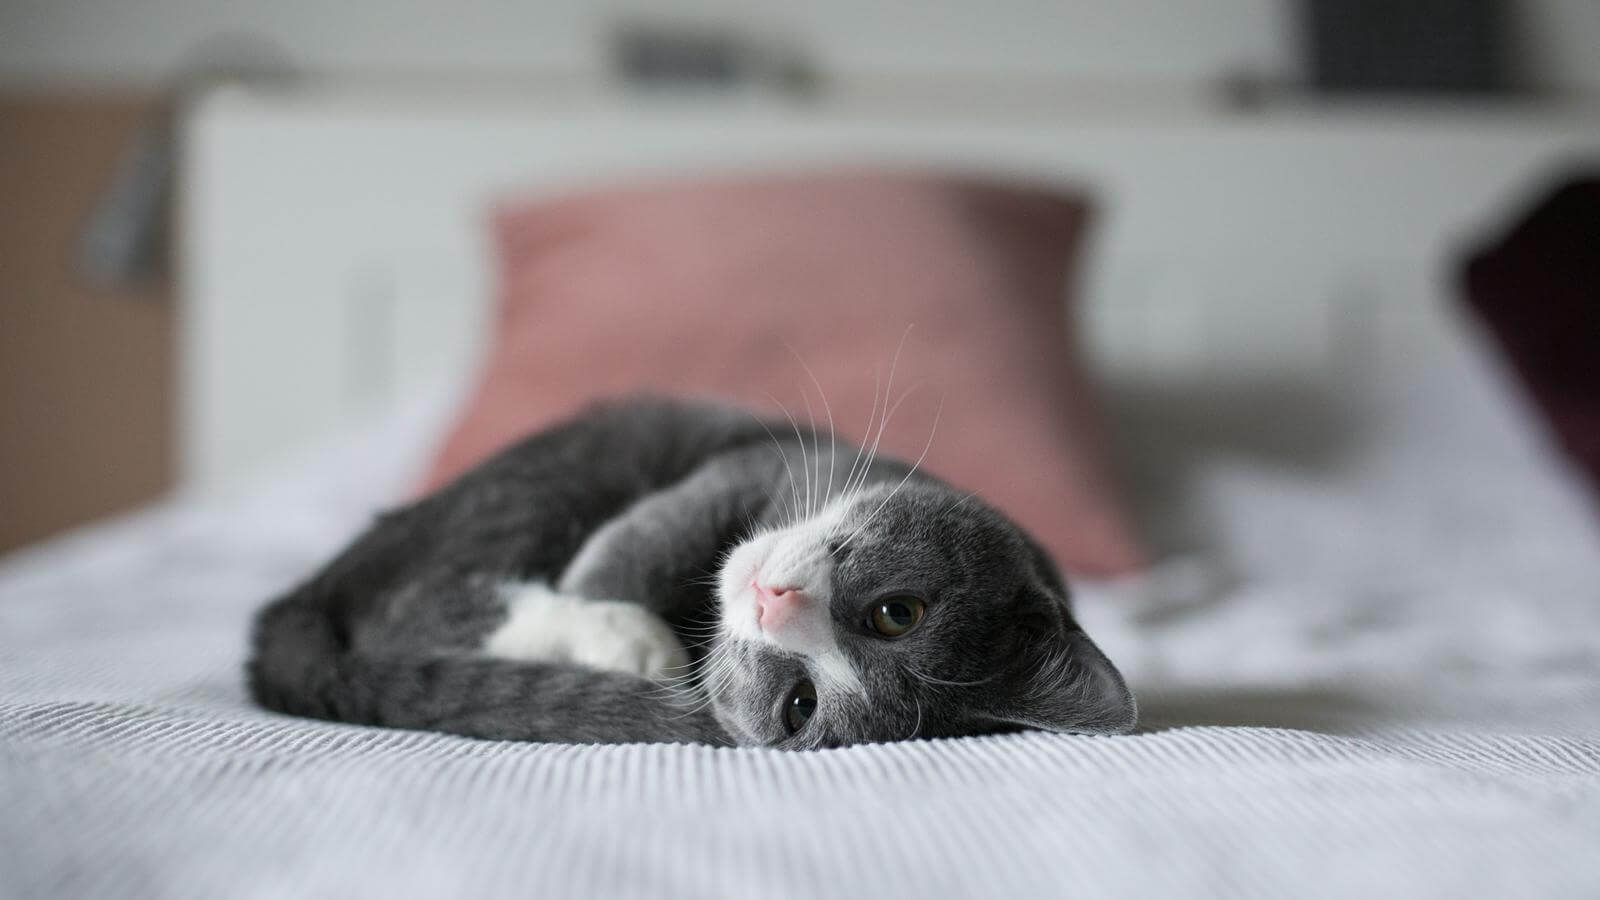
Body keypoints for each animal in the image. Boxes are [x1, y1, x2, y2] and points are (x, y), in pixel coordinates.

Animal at [246, 395, 1139, 746]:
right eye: (899, 612)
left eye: (800, 704)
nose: (775, 602)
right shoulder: (751, 467)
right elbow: (643, 542)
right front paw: (620, 621)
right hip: (551, 478)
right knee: (413, 606)